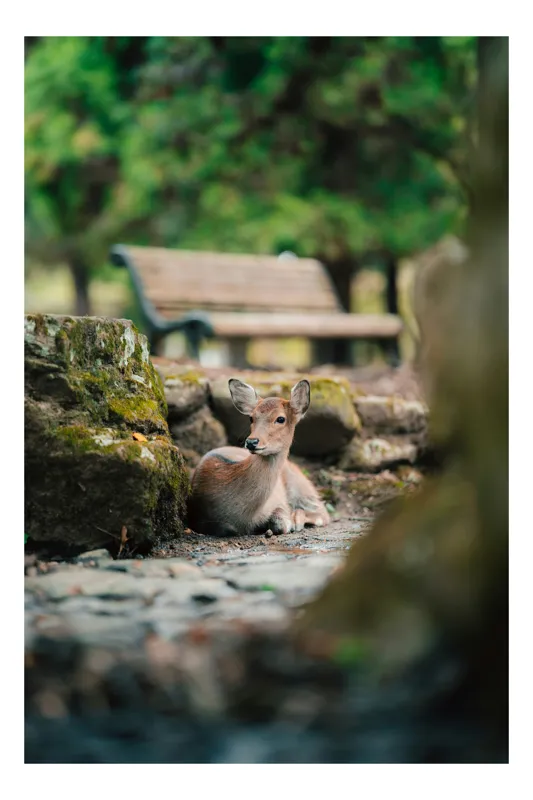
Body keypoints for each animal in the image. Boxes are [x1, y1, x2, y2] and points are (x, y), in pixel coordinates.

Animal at [187, 378, 330, 537]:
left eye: (281, 418)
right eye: (251, 418)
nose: (252, 442)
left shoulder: (278, 501)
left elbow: (281, 524)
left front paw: (288, 523)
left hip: (300, 485)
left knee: (322, 512)